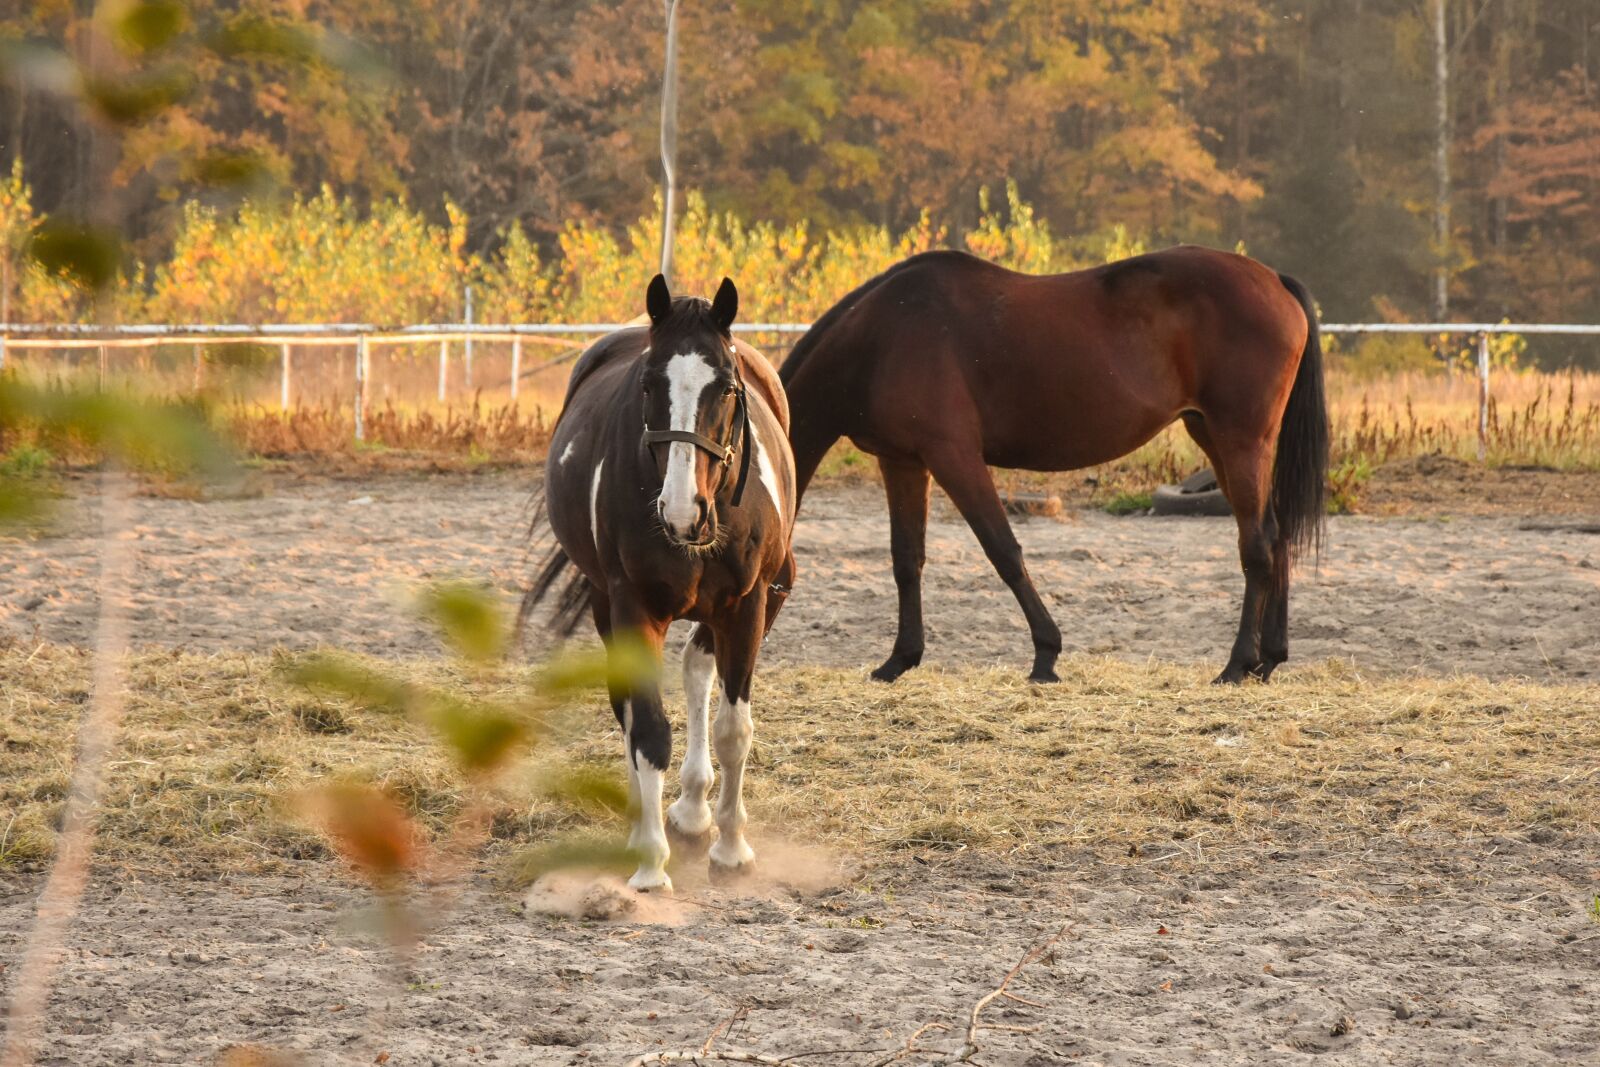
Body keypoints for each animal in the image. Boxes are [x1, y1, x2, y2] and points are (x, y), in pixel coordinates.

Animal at [526, 275, 797, 892]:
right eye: (650, 384)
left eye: (726, 388)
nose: (680, 510)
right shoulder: (633, 607)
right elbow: (647, 730)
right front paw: (651, 866)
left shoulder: (747, 606)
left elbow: (733, 729)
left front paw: (731, 850)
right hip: (606, 601)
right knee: (628, 708)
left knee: (698, 670)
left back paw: (695, 814)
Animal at [779, 246, 1328, 686]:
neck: (883, 335)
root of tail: (1274, 279)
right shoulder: (903, 463)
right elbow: (906, 559)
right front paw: (899, 660)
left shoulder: (954, 456)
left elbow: (1003, 551)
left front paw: (1046, 655)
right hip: (1212, 435)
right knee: (1276, 536)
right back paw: (1268, 660)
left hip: (1240, 441)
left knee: (1256, 544)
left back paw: (1237, 665)